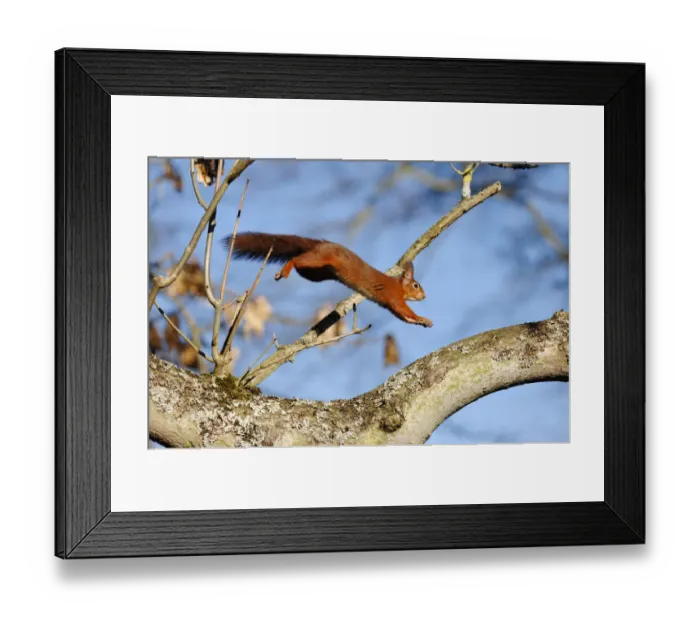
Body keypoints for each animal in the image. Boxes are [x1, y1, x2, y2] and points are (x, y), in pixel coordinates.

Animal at [222, 232, 432, 327]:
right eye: (416, 285)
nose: (424, 296)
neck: (398, 285)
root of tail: (321, 244)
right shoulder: (394, 297)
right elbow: (404, 310)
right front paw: (422, 318)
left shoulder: (390, 305)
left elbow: (402, 316)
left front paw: (421, 322)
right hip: (318, 260)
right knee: (297, 258)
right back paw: (286, 268)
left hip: (316, 273)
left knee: (301, 265)